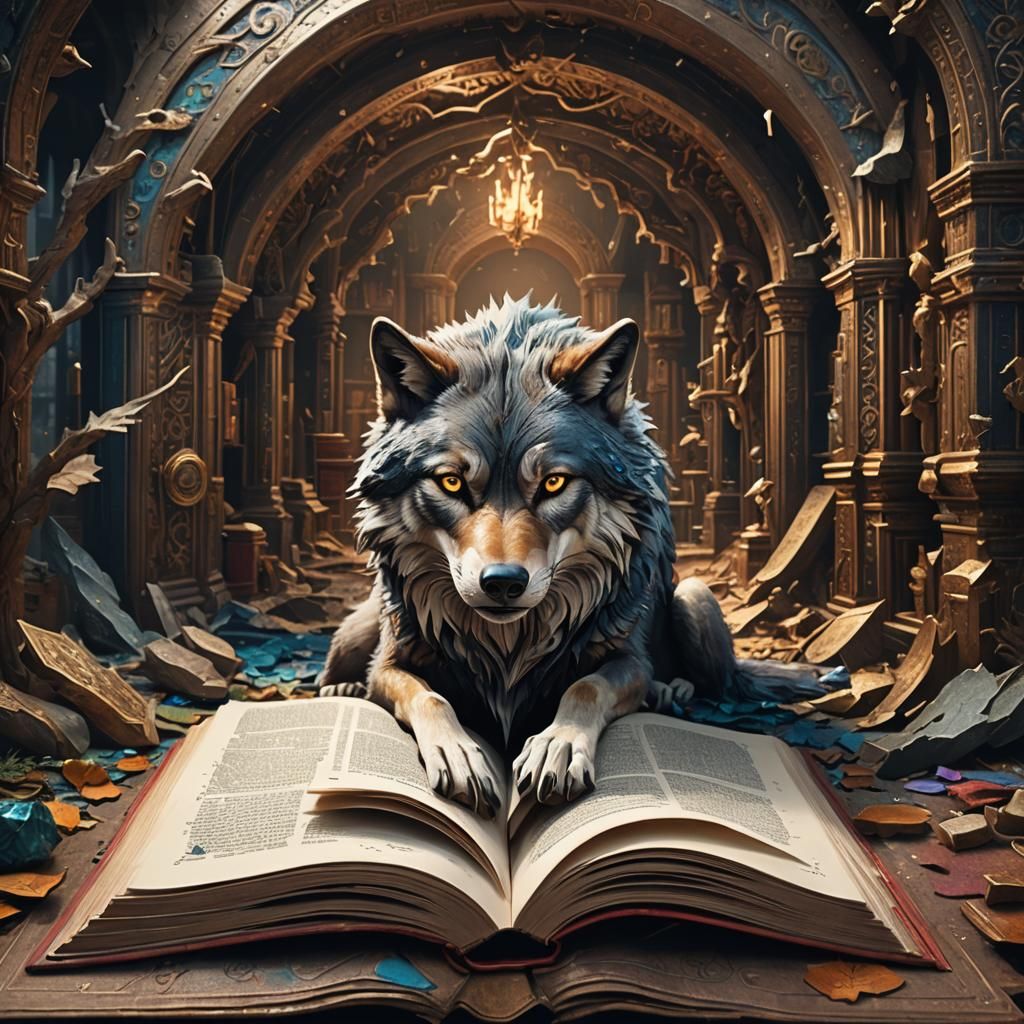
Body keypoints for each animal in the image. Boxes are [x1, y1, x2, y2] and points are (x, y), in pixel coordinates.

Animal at [319, 296, 739, 818]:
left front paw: (556, 747)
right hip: (361, 624)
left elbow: (586, 686)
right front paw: (459, 754)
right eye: (451, 482)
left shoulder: (629, 661)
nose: (502, 582)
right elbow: (430, 697)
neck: (508, 647)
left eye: (553, 483)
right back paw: (340, 688)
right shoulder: (390, 663)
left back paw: (671, 691)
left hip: (694, 598)